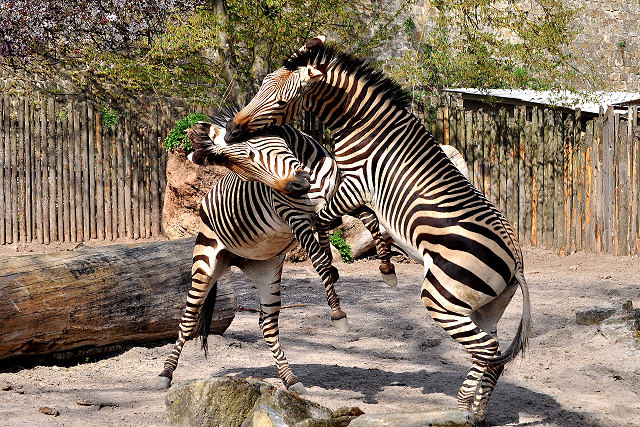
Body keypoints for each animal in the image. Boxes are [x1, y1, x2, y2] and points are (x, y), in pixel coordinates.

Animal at [158, 108, 396, 394]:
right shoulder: (294, 217)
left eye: (251, 152)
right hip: (205, 262)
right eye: (241, 164)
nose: (299, 185)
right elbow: (318, 259)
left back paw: (291, 379)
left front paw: (386, 267)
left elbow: (370, 220)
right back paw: (165, 374)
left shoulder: (337, 196)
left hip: (267, 270)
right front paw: (338, 313)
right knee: (188, 318)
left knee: (267, 324)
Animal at [222, 36, 532, 422]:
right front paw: (380, 266)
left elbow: (325, 218)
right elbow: (363, 223)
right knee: (493, 356)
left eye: (280, 101)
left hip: (443, 297)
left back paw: (459, 411)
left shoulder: (354, 184)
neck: (361, 123)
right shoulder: (354, 188)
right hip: (483, 308)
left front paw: (343, 278)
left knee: (487, 351)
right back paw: (475, 414)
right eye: (261, 86)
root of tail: (516, 263)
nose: (232, 130)